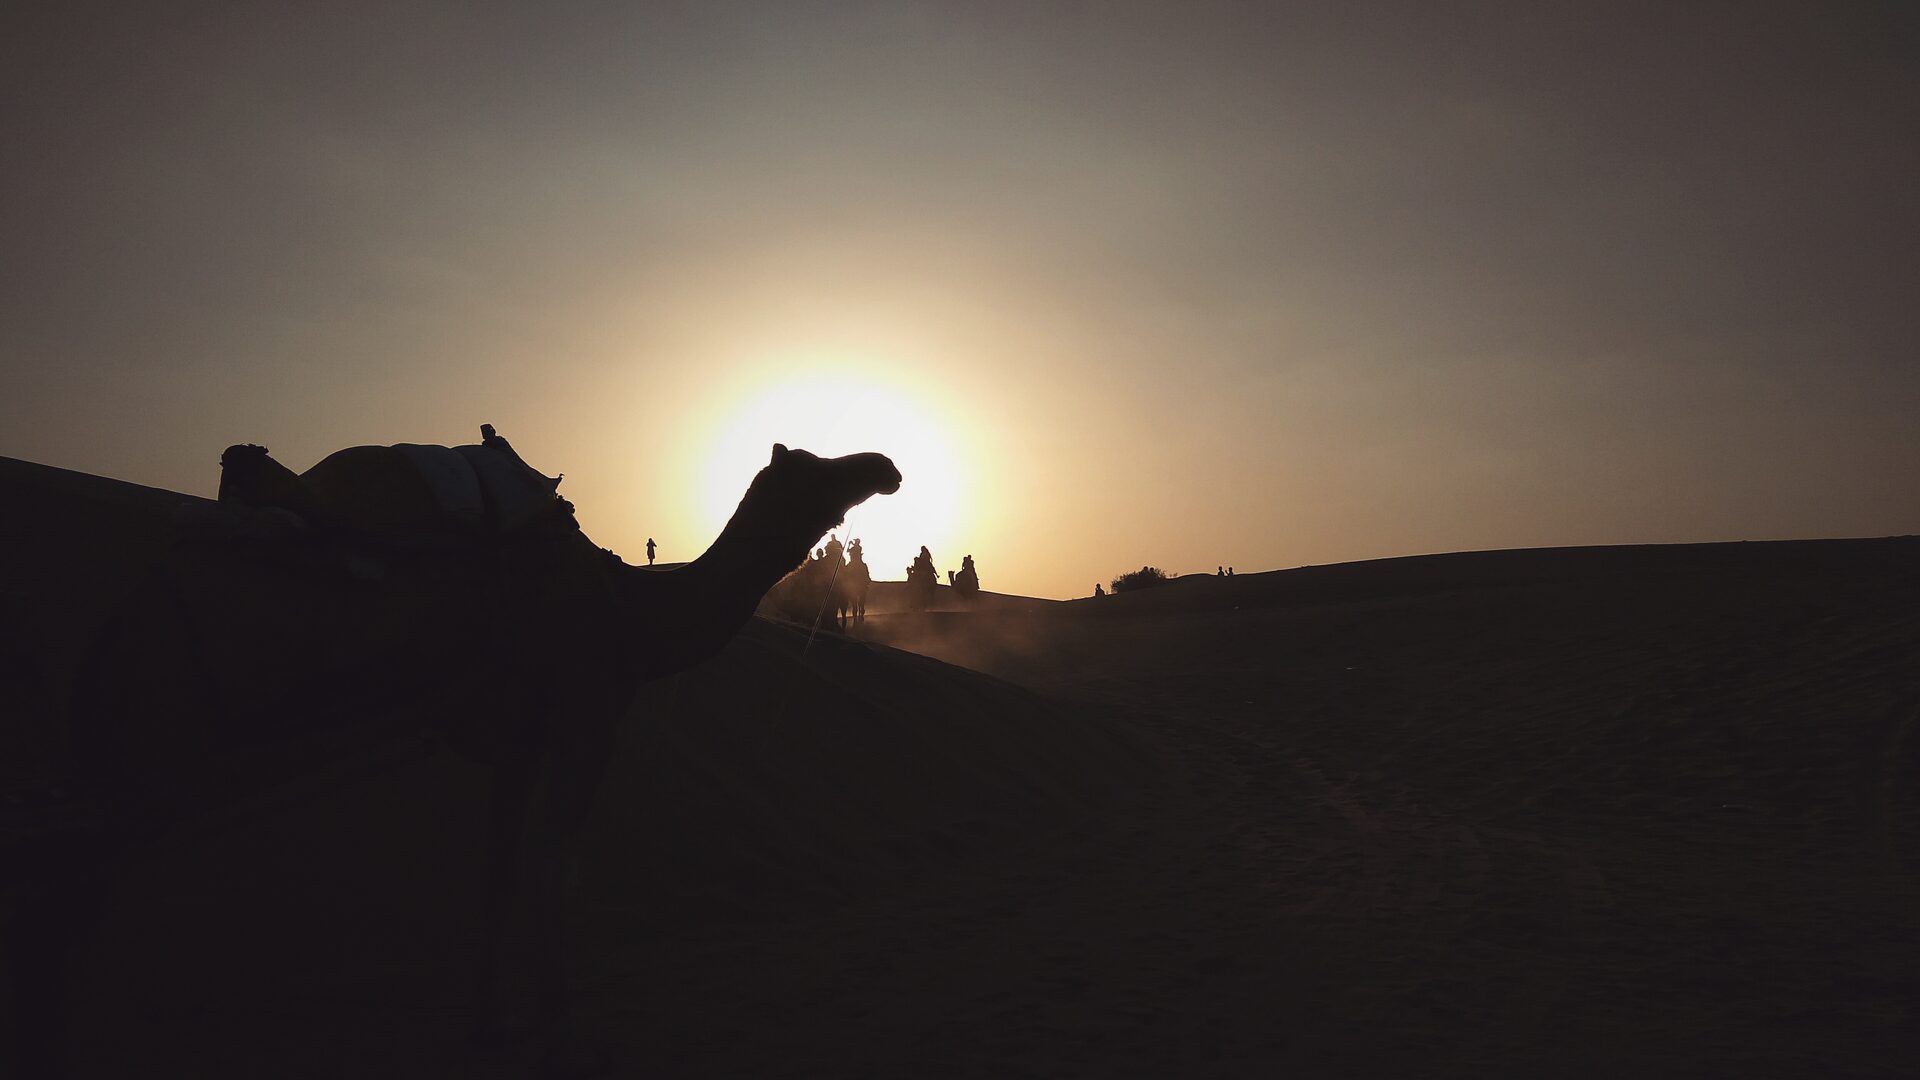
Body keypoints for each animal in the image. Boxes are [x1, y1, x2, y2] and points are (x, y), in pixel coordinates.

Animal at [16, 428, 900, 1074]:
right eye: (816, 466)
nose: (885, 465)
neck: (631, 616)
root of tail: (119, 630)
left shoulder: (518, 739)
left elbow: (496, 871)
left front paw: (488, 1021)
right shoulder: (585, 719)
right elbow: (550, 863)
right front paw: (556, 1019)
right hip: (163, 742)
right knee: (76, 889)